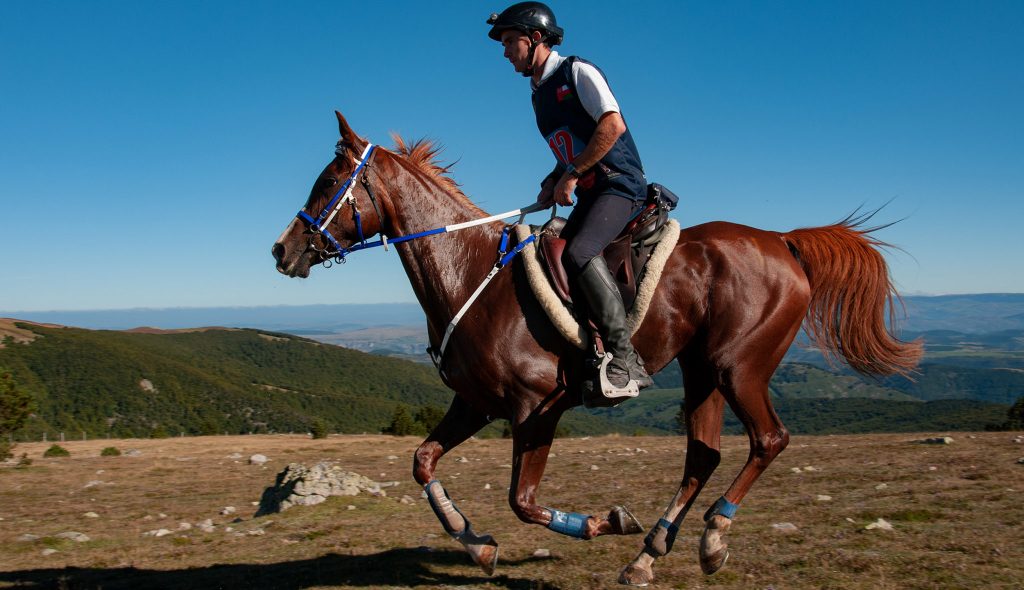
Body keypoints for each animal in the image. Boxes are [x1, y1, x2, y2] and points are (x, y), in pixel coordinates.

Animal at [273, 111, 922, 586]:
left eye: (328, 183)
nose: (282, 249)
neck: (471, 272)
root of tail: (782, 242)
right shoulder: (476, 404)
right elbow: (423, 462)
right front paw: (476, 544)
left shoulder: (536, 409)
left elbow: (523, 501)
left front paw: (603, 521)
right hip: (699, 371)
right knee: (703, 455)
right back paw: (649, 556)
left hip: (737, 368)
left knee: (768, 440)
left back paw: (712, 537)